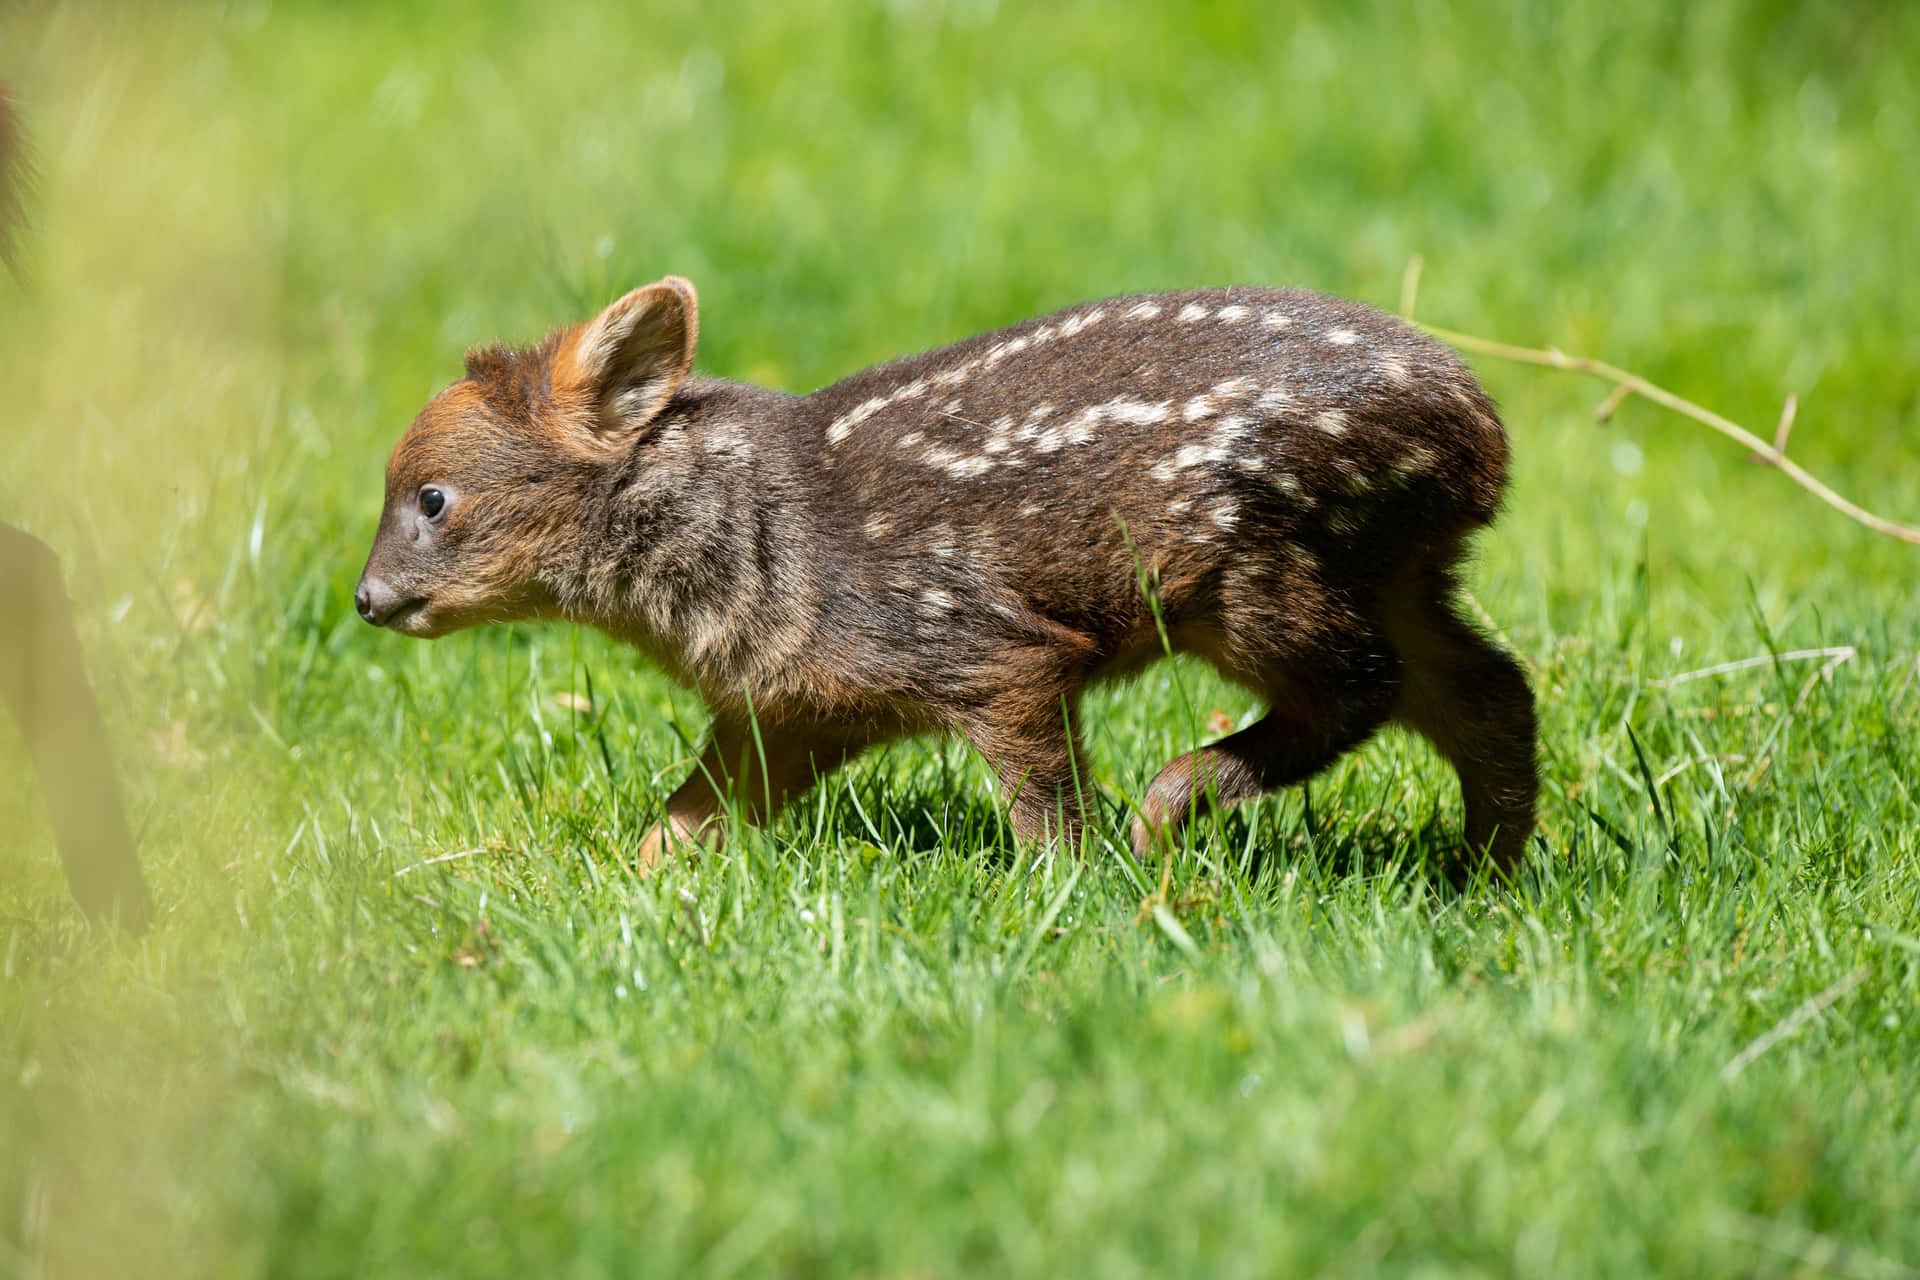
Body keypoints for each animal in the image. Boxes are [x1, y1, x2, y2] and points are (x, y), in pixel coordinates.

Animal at [357, 280, 1528, 871]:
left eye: (432, 498)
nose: (366, 600)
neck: (767, 547)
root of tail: (1483, 435)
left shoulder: (992, 653)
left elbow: (1047, 812)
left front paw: (1078, 905)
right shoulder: (791, 710)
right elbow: (687, 817)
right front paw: (625, 891)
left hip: (1252, 568)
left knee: (1363, 686)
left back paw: (1169, 812)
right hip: (1398, 572)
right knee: (1490, 689)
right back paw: (1486, 874)